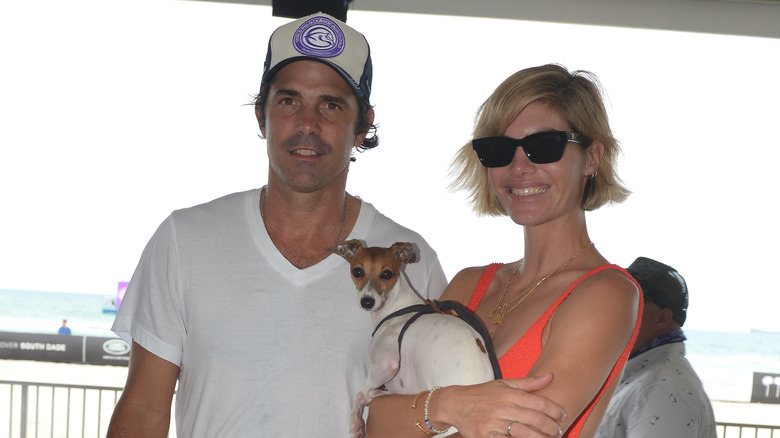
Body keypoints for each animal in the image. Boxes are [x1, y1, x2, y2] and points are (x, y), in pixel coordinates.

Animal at [330, 240, 500, 438]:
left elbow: (360, 393)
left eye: (386, 274)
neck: (397, 307)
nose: (367, 302)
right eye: (357, 271)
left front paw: (355, 422)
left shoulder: (386, 364)